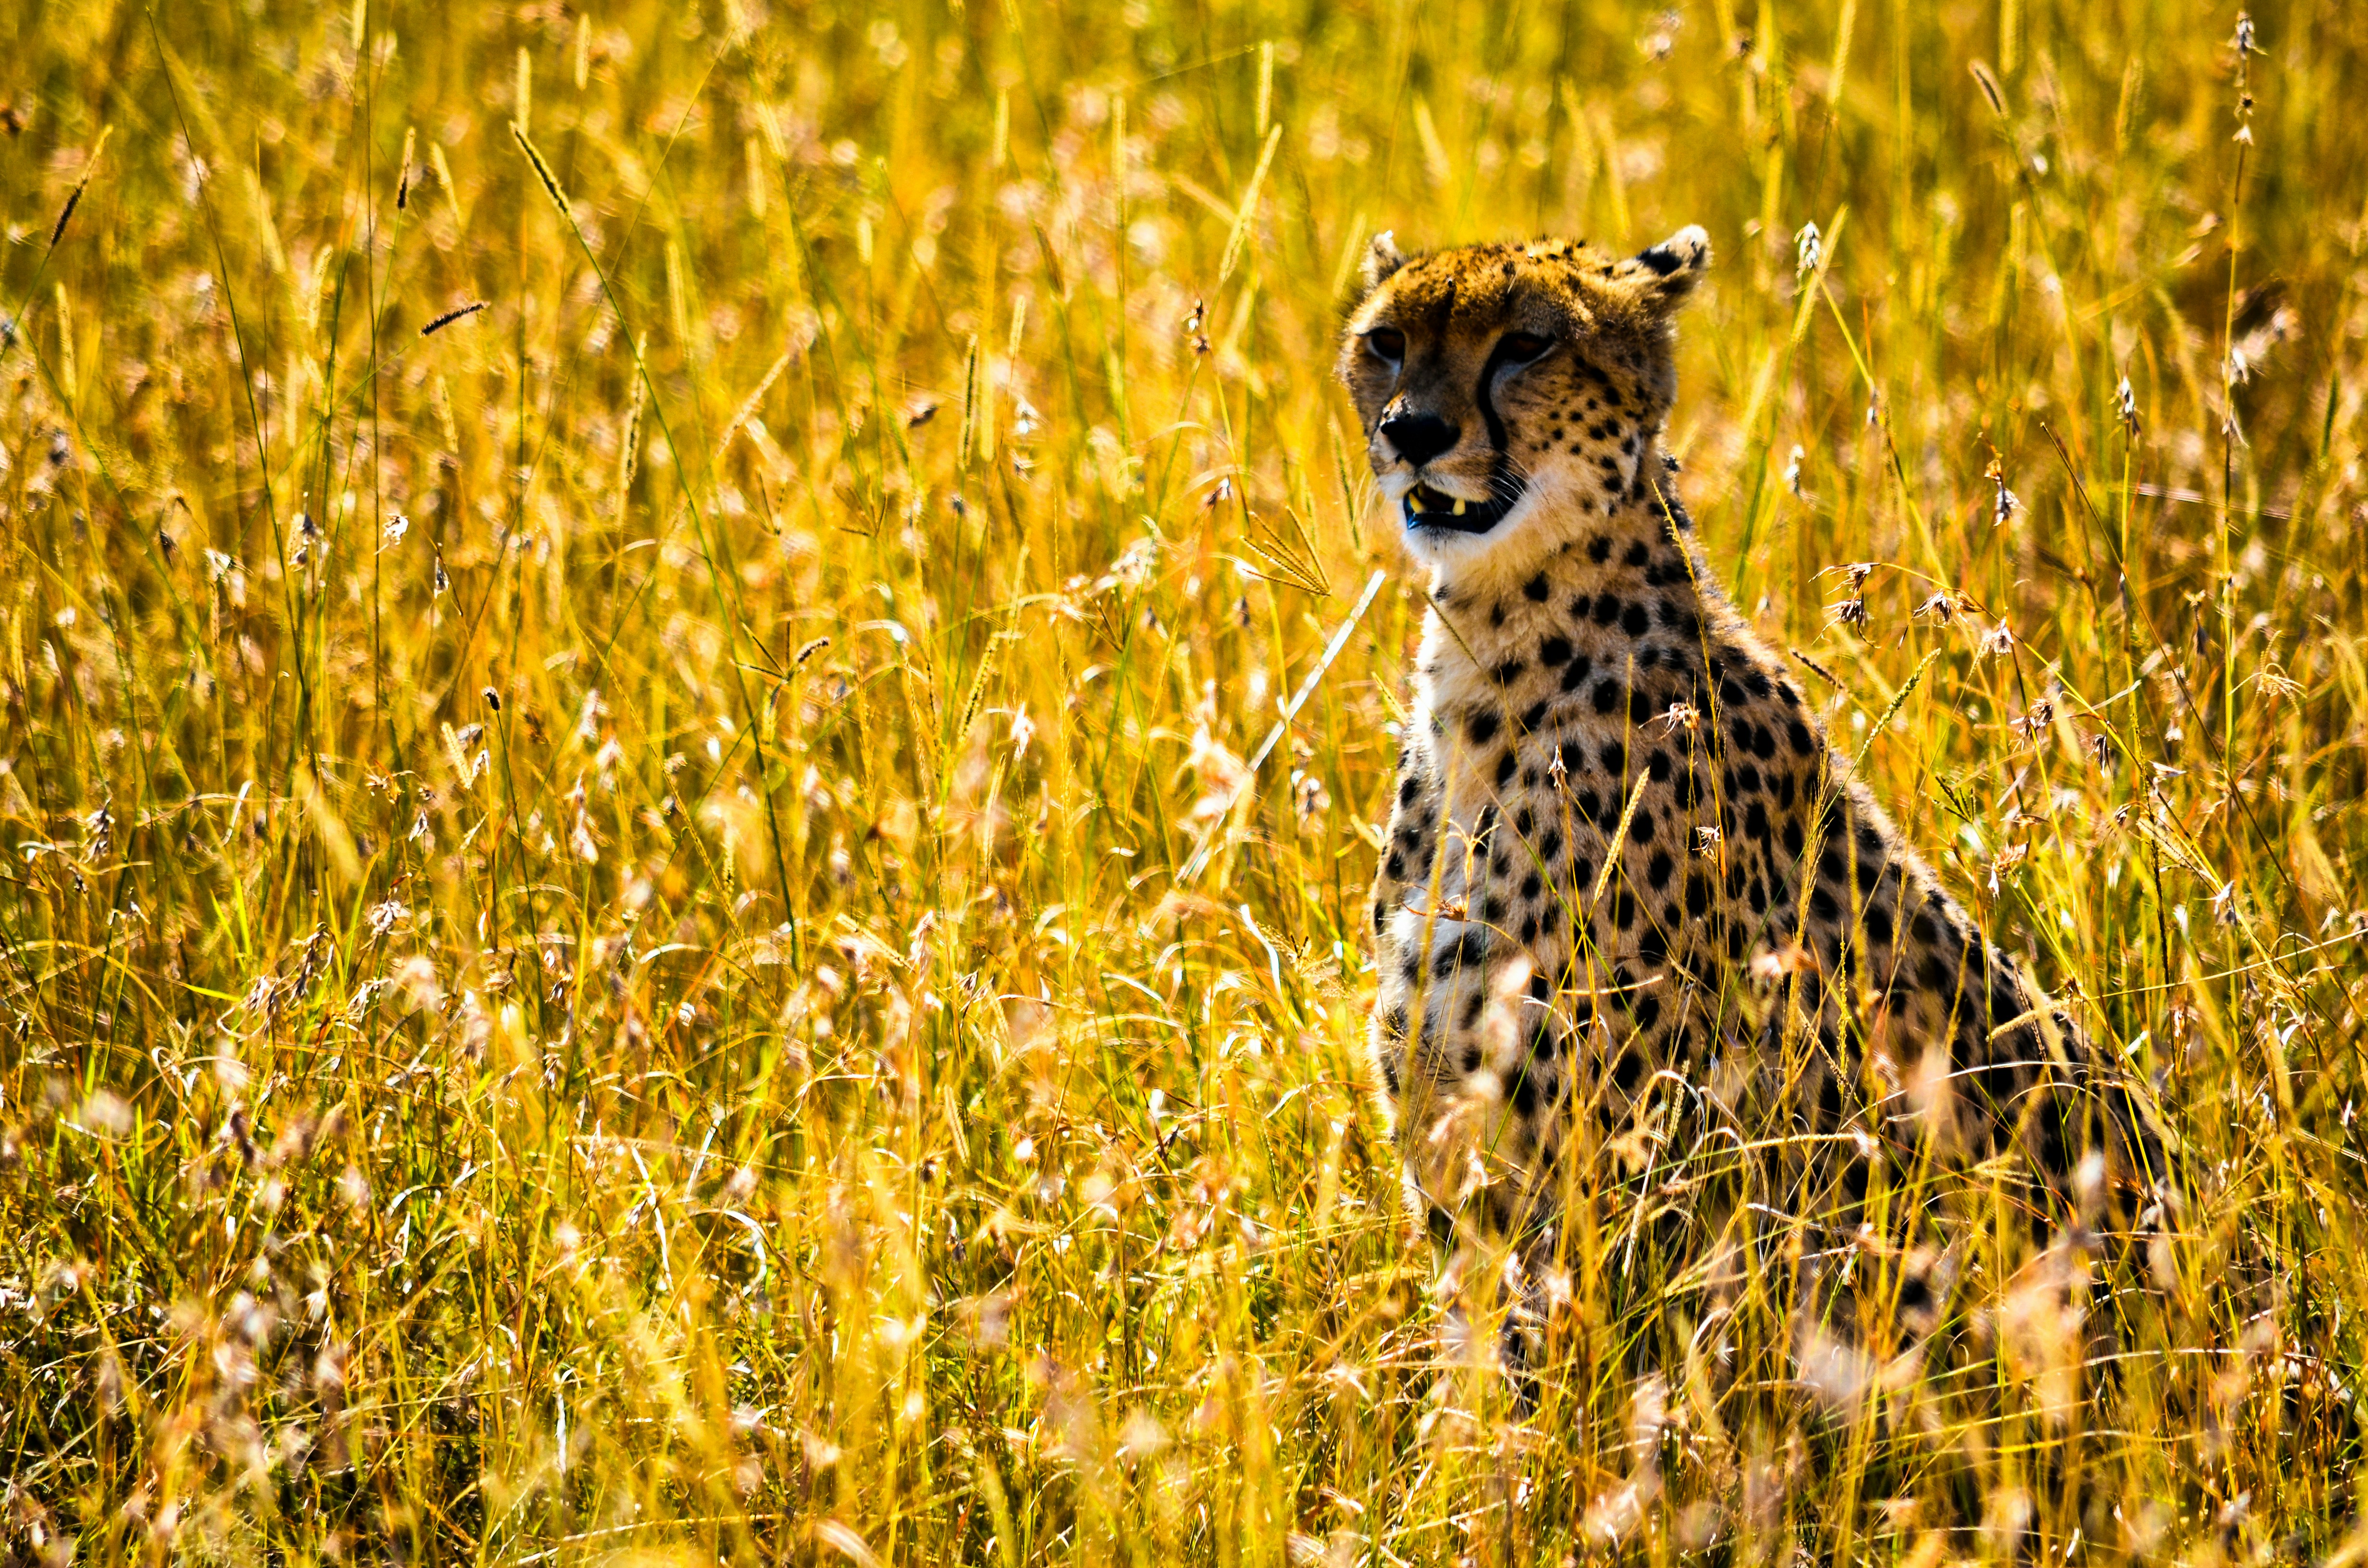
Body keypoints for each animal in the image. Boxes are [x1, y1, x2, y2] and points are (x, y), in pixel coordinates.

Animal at [1337, 226, 2176, 1401]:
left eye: (1526, 344)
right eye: (1385, 341)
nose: (1412, 431)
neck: (1494, 651)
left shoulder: (1617, 1179)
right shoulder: (1463, 1154)